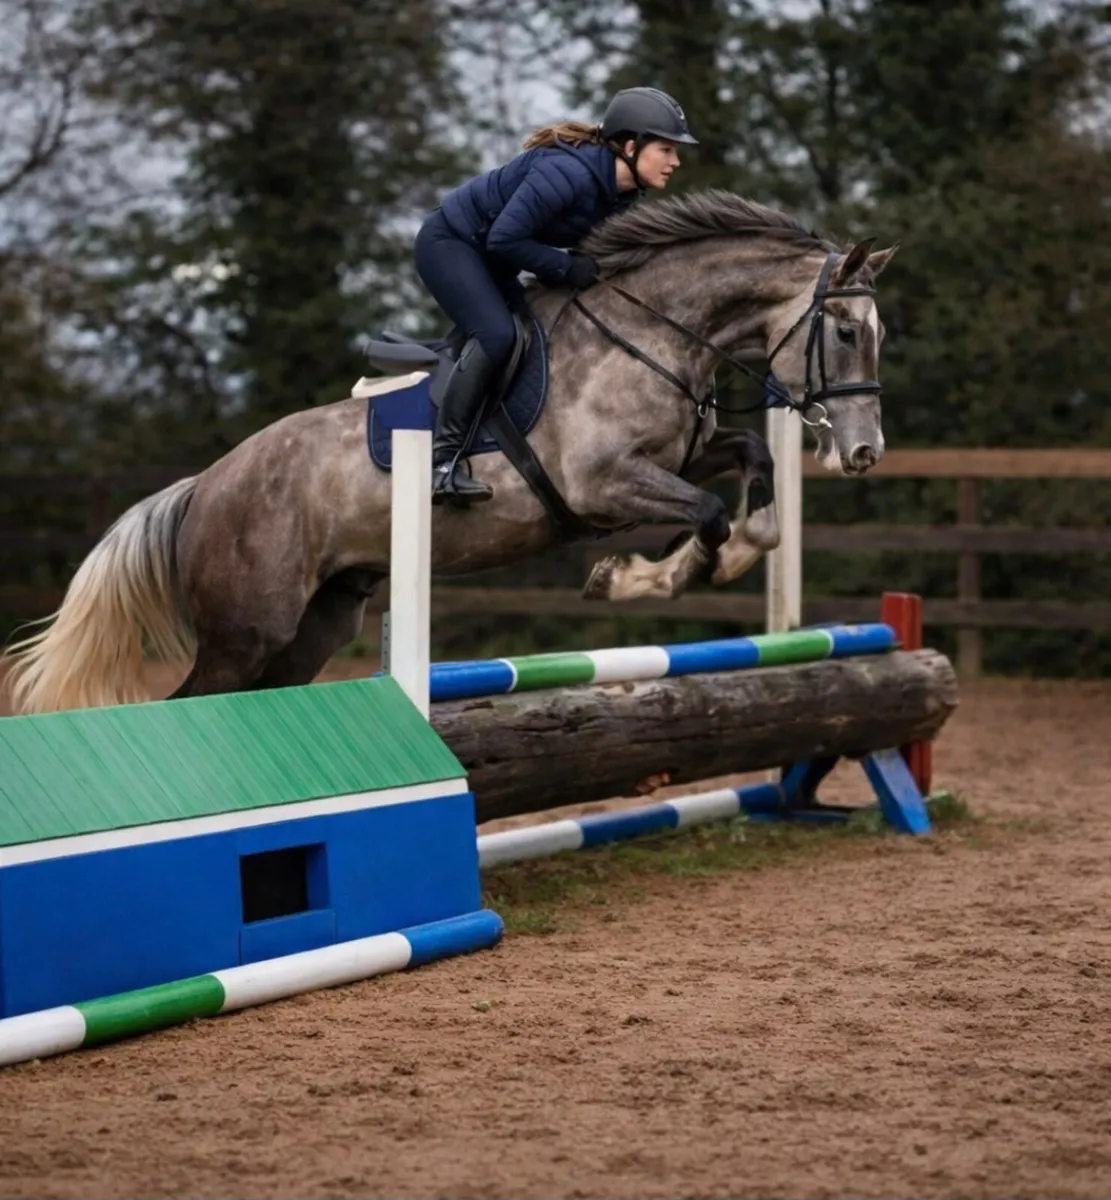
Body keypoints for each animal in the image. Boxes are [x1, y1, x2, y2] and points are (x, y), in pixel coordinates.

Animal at [2, 189, 897, 715]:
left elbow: (750, 466)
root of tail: (203, 487)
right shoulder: (604, 485)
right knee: (191, 698)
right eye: (845, 331)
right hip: (245, 630)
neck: (650, 331)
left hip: (313, 625)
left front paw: (736, 554)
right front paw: (639, 578)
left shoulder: (681, 456)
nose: (862, 452)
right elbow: (706, 512)